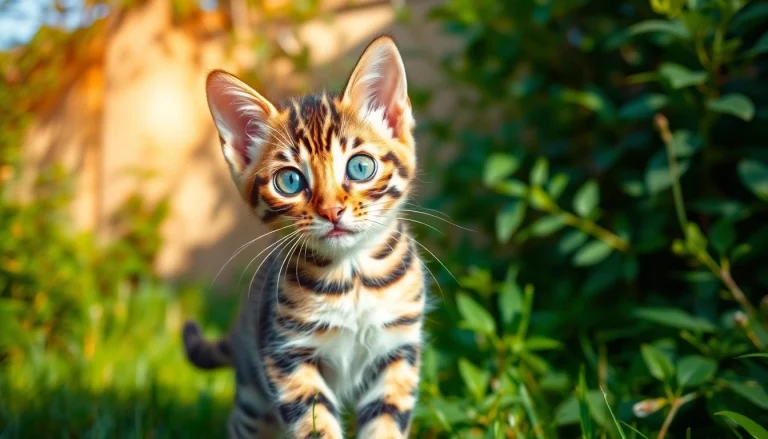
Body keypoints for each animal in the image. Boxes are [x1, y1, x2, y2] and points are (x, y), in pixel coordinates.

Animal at [184, 35, 428, 439]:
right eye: (290, 181)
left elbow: (386, 422)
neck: (352, 277)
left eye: (360, 167)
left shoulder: (396, 349)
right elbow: (315, 424)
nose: (331, 210)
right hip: (254, 396)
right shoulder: (286, 357)